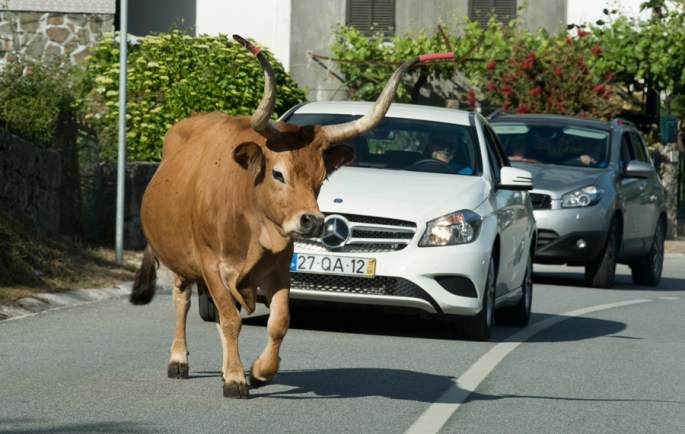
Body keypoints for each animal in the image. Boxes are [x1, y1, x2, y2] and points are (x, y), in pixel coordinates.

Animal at [130, 34, 448, 398]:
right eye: (278, 174)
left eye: (321, 178)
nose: (313, 221)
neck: (251, 222)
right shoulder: (210, 264)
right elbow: (229, 319)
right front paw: (236, 379)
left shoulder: (279, 268)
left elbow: (278, 322)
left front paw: (259, 372)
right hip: (181, 260)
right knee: (182, 301)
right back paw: (179, 360)